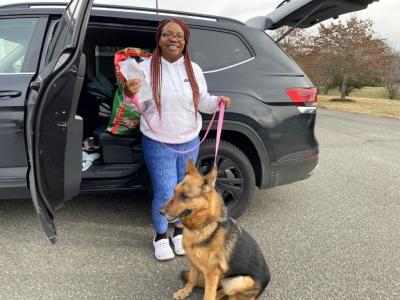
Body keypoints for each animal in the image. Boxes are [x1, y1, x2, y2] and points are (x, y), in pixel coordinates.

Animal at [159, 158, 268, 298]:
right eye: (174, 192)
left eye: (184, 196)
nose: (160, 212)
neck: (202, 227)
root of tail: (265, 284)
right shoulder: (194, 264)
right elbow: (192, 279)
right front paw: (185, 291)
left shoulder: (211, 274)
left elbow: (208, 295)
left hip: (238, 282)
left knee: (225, 292)